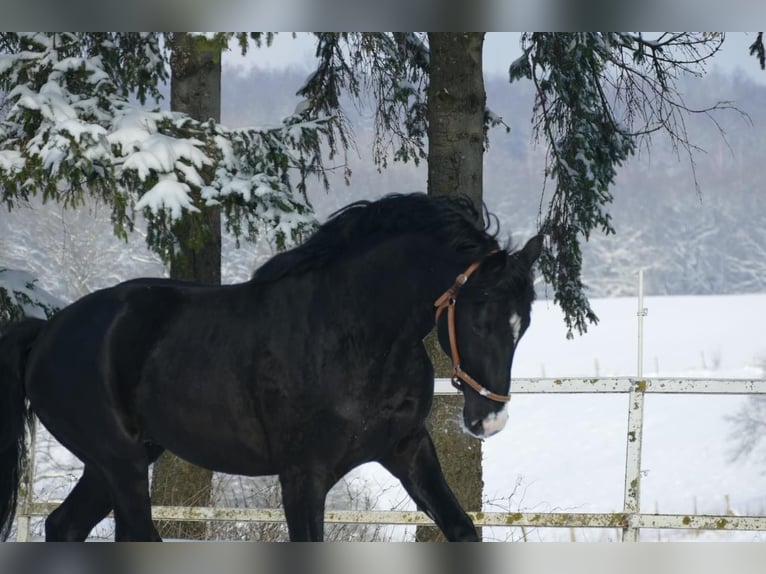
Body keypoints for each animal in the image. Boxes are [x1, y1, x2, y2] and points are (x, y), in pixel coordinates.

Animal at [0, 195, 544, 544]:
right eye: (479, 316)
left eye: (524, 324)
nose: (489, 420)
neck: (354, 333)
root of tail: (48, 330)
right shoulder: (303, 475)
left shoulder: (407, 448)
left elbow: (462, 531)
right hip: (121, 461)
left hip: (117, 460)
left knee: (64, 527)